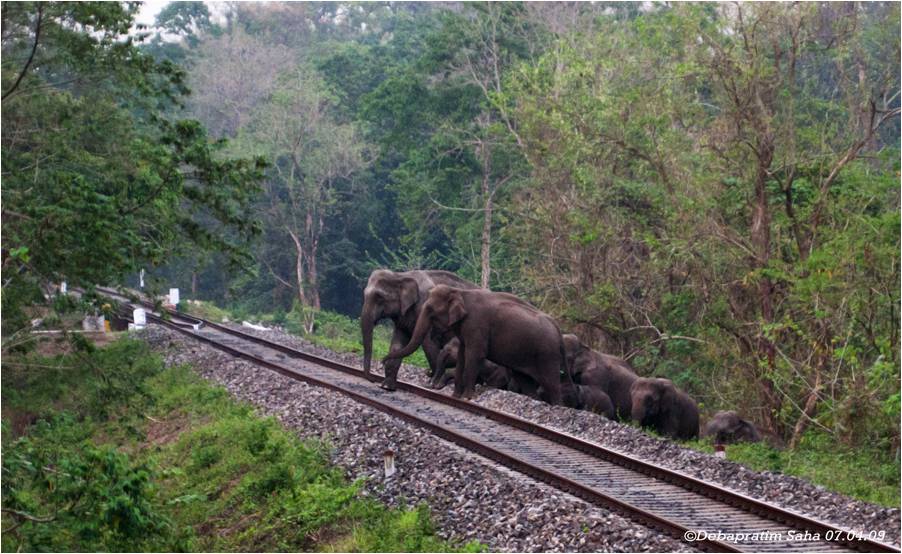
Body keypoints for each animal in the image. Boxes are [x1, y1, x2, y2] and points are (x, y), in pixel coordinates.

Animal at [384, 284, 568, 402]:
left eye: (430, 310)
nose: (384, 359)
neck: (461, 292)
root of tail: (558, 329)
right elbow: (462, 355)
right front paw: (455, 397)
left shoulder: (476, 325)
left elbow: (475, 355)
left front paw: (467, 397)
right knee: (526, 382)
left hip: (547, 355)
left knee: (552, 384)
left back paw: (556, 405)